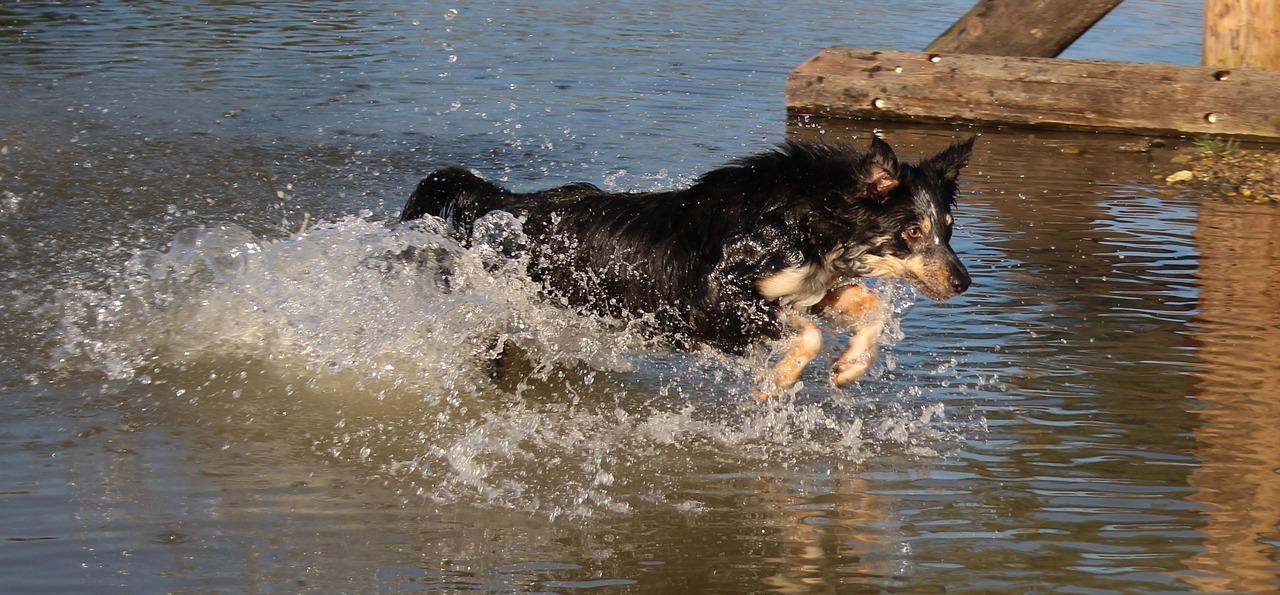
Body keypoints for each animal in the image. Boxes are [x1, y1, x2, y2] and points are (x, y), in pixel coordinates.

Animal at [404, 134, 972, 394]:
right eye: (912, 231)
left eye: (947, 225)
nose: (964, 282)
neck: (804, 216)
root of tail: (515, 204)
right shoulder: (713, 302)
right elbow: (808, 334)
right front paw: (775, 382)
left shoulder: (807, 287)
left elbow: (867, 302)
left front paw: (852, 364)